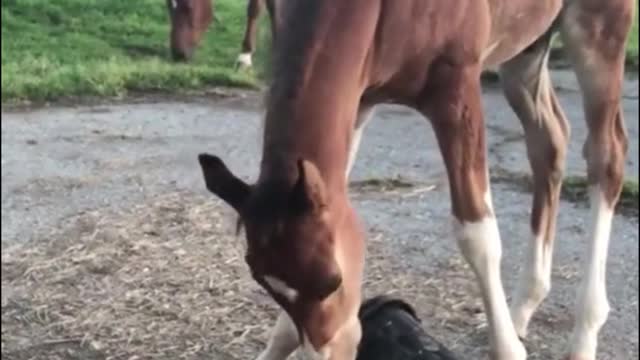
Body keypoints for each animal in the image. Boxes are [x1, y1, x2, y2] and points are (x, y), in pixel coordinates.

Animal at [199, 0, 636, 360]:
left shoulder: (457, 88)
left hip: (598, 25)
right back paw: (523, 307)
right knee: (549, 141)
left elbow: (478, 235)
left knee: (607, 154)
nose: (331, 353)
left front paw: (508, 350)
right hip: (527, 46)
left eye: (332, 282)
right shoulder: (361, 98)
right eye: (264, 282)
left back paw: (584, 335)